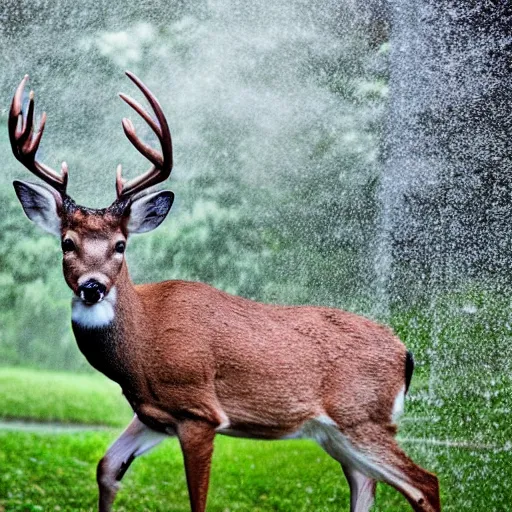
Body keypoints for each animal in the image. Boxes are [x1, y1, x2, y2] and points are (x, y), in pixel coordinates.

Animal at [9, 73, 440, 512]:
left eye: (120, 245)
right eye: (67, 242)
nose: (92, 287)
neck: (142, 344)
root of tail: (405, 353)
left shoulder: (199, 410)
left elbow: (197, 500)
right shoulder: (152, 415)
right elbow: (106, 467)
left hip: (361, 416)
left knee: (425, 482)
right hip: (335, 432)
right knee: (367, 483)